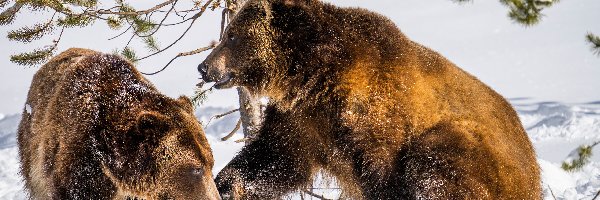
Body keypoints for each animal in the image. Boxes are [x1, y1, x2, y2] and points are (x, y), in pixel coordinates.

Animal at [199, 0, 540, 199]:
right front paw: (225, 184)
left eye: (232, 35)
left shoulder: (377, 118)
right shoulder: (302, 118)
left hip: (477, 150)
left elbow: (383, 174)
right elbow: (273, 157)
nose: (204, 67)